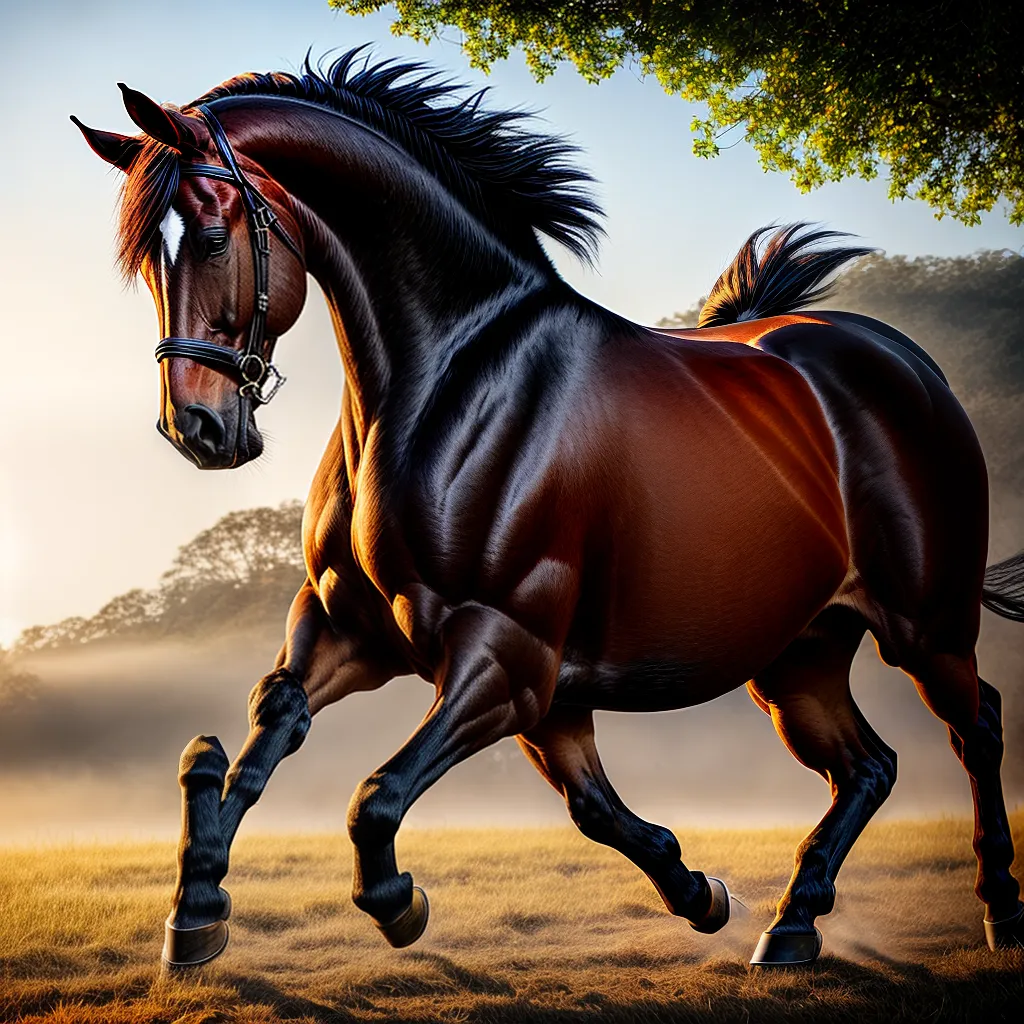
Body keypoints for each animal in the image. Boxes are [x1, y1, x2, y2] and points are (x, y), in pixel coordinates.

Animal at [72, 49, 1024, 970]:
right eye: (147, 259)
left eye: (207, 235)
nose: (197, 428)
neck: (450, 386)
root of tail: (906, 363)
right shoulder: (364, 634)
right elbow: (272, 737)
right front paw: (196, 909)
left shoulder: (506, 656)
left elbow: (377, 798)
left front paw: (399, 904)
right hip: (798, 658)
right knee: (869, 767)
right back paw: (790, 926)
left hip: (926, 627)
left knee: (974, 730)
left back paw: (998, 911)